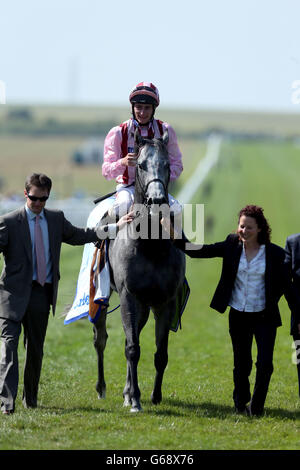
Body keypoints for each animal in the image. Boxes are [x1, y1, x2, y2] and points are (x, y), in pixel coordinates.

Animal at [92, 129, 185, 412]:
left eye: (166, 165)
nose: (156, 200)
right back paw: (103, 388)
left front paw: (153, 395)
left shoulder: (164, 301)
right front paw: (135, 399)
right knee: (101, 339)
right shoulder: (128, 296)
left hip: (145, 306)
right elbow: (133, 349)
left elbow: (160, 353)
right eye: (141, 165)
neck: (150, 246)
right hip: (102, 294)